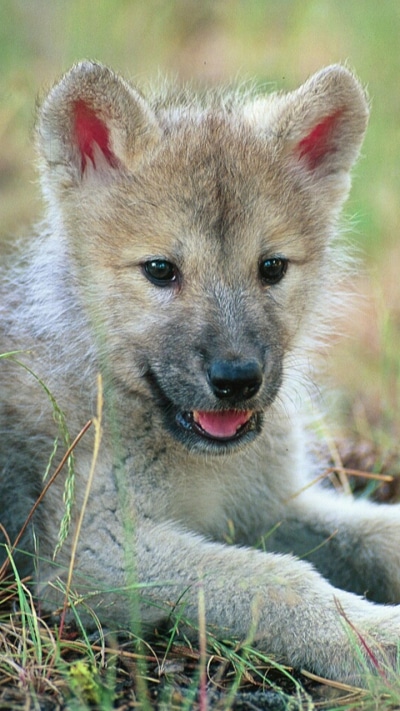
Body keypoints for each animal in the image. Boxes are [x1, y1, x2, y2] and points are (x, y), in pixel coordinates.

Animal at [1, 61, 400, 684]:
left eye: (272, 267)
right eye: (161, 270)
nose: (236, 380)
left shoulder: (272, 504)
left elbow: (378, 534)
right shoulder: (93, 552)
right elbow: (279, 580)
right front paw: (378, 639)